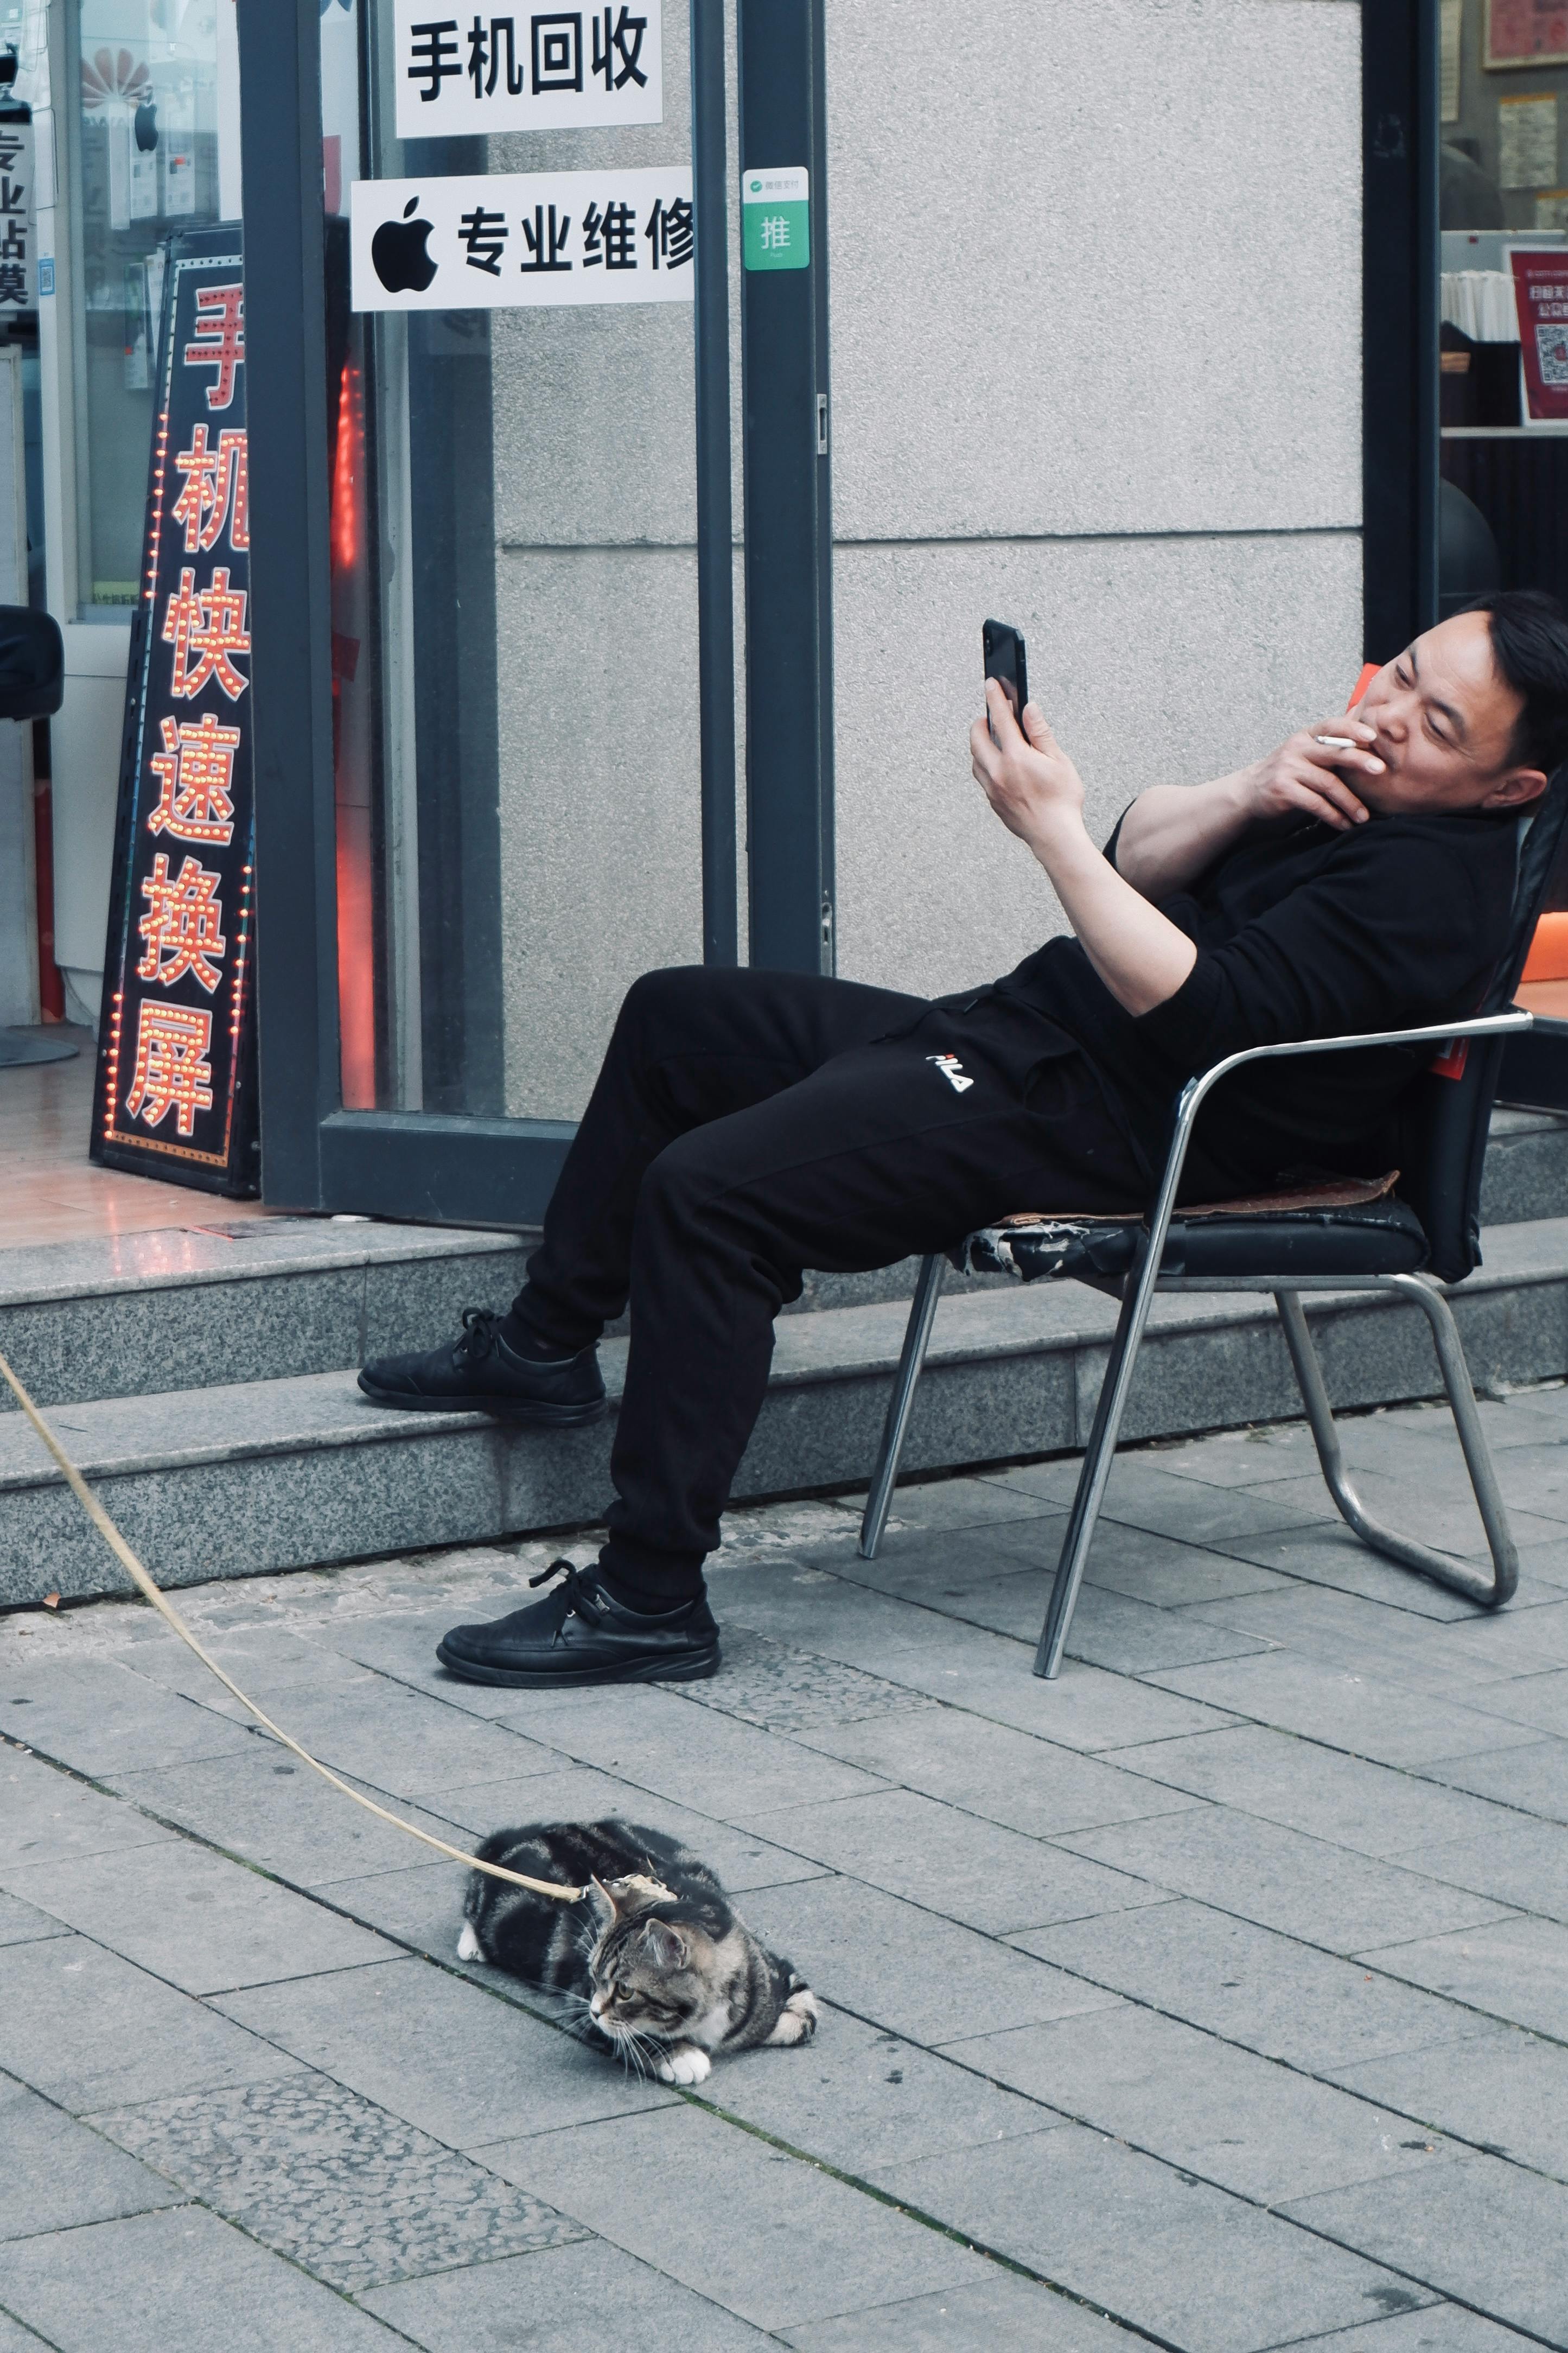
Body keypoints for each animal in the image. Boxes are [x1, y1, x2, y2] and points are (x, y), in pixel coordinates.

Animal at [456, 1816, 818, 2080]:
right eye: (594, 1977)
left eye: (626, 1991)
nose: (595, 2010)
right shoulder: (579, 1996)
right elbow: (624, 2033)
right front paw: (681, 2056)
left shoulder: (779, 1972)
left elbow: (800, 2019)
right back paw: (472, 1944)